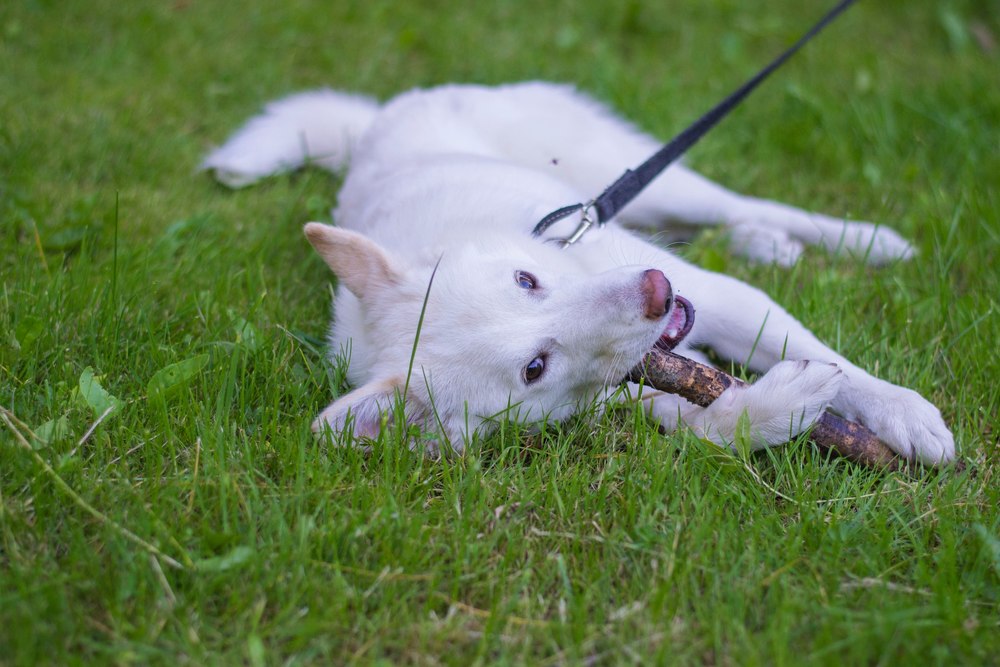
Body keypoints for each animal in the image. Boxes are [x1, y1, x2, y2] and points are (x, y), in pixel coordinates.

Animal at [201, 81, 952, 464]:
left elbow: (835, 360)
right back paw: (769, 244)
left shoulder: (712, 294)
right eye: (535, 367)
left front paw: (906, 413)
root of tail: (382, 117)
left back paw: (864, 240)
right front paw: (778, 407)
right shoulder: (629, 397)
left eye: (526, 280)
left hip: (636, 176)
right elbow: (708, 425)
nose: (655, 292)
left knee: (736, 203)